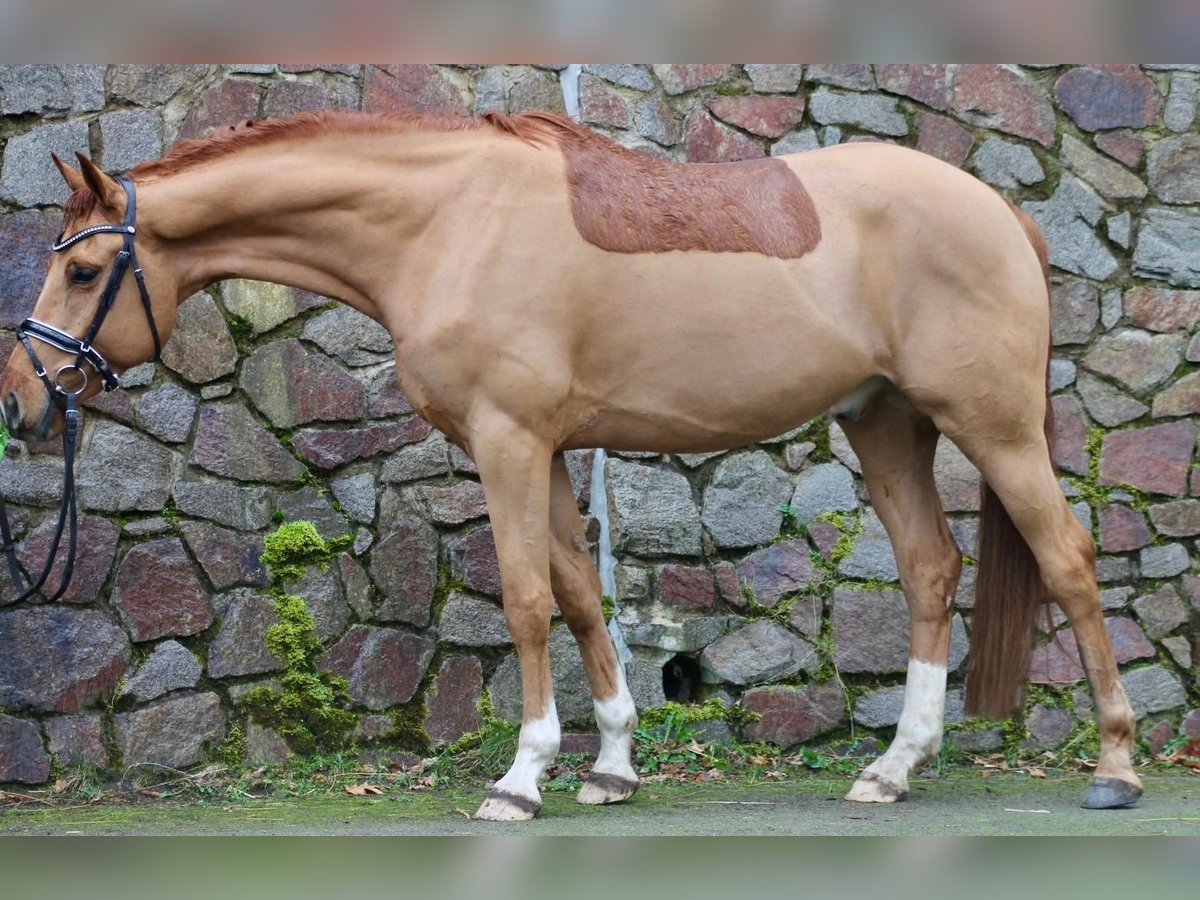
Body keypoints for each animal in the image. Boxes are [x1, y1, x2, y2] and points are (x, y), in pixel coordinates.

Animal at [2, 109, 1142, 820]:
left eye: (86, 270)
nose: (21, 402)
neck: (447, 223)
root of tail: (1001, 209)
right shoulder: (540, 449)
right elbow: (584, 597)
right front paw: (613, 768)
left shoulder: (509, 441)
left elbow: (524, 601)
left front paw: (521, 778)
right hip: (887, 423)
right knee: (930, 571)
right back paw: (893, 768)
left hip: (992, 425)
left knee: (1071, 562)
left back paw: (1117, 768)